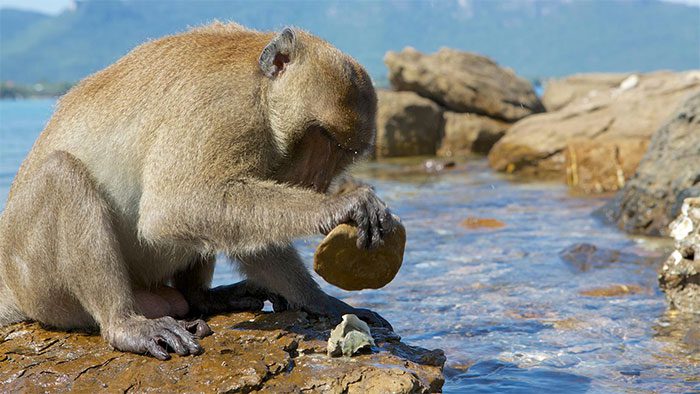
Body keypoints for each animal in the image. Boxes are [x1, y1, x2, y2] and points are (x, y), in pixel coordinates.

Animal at [0, 21, 394, 360]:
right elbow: (172, 208)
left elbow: (255, 238)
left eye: (343, 152)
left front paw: (322, 301)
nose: (317, 180)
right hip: (40, 286)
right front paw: (341, 206)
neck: (261, 92)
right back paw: (124, 324)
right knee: (61, 174)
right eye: (322, 137)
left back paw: (202, 297)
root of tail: (11, 288)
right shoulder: (222, 112)